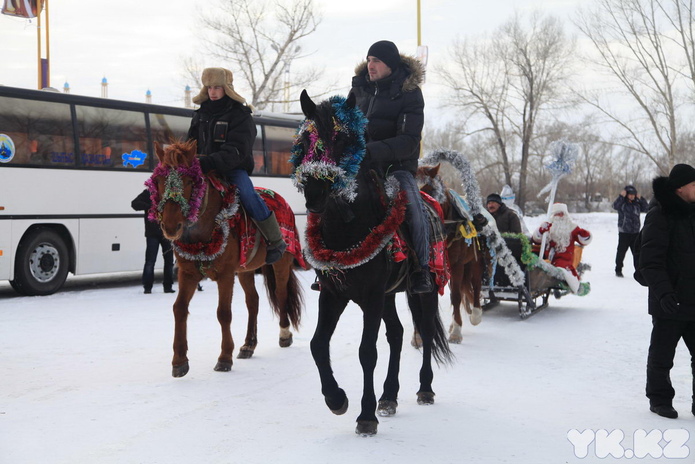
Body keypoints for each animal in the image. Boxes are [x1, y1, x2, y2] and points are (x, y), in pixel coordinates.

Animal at [148, 140, 304, 376]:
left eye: (189, 181)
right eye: (158, 180)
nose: (171, 226)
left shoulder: (225, 275)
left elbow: (223, 313)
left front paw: (224, 358)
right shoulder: (188, 273)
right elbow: (179, 308)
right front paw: (179, 360)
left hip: (281, 262)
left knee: (281, 294)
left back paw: (284, 335)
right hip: (246, 269)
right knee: (253, 301)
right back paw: (248, 344)